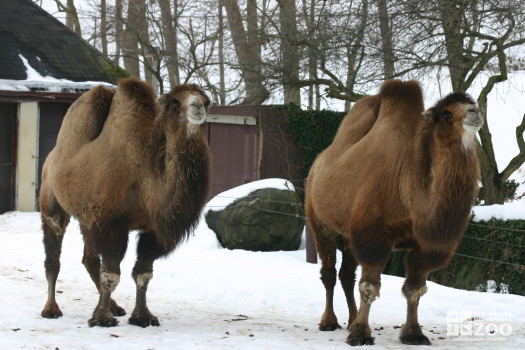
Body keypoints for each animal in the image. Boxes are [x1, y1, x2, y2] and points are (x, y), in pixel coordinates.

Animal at [40, 78, 211, 326]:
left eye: (207, 102)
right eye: (174, 102)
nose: (197, 107)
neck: (146, 180)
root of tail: (51, 157)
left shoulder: (151, 230)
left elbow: (143, 274)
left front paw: (142, 316)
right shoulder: (112, 223)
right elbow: (111, 274)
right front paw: (102, 318)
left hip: (87, 218)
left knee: (89, 259)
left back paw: (115, 306)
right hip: (52, 205)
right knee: (53, 256)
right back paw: (51, 308)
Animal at [308, 79, 484, 344]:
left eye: (472, 104)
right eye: (446, 113)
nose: (475, 113)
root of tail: (317, 163)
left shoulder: (424, 245)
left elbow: (415, 289)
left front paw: (414, 333)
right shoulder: (373, 234)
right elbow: (369, 286)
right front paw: (361, 334)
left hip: (349, 233)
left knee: (346, 275)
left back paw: (351, 320)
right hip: (320, 222)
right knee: (328, 273)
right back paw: (329, 322)